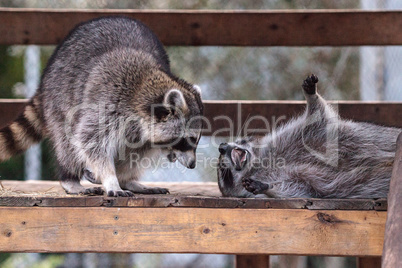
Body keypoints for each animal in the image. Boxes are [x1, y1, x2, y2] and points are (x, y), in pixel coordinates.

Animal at [0, 17, 203, 197]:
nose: (193, 165)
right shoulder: (106, 103)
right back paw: (70, 178)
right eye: (189, 139)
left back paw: (129, 180)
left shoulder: (143, 132)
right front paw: (111, 179)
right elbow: (90, 140)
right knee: (67, 140)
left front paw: (121, 177)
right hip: (60, 97)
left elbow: (136, 153)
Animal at [218, 74, 400, 198]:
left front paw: (311, 95)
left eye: (239, 140)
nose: (221, 146)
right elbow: (301, 188)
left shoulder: (297, 134)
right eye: (223, 170)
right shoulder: (302, 179)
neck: (258, 163)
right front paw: (268, 187)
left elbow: (316, 114)